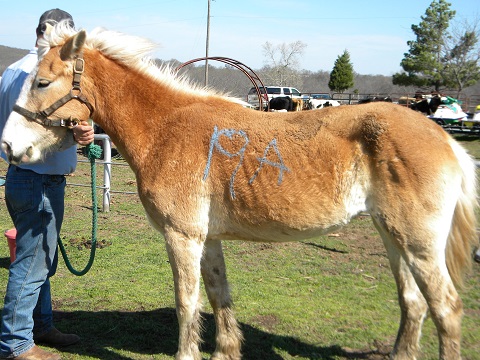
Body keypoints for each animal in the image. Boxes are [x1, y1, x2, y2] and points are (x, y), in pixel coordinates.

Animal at [1, 23, 478, 358]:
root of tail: (445, 139)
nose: (8, 146)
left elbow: (187, 303)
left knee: (446, 309)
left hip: (418, 244)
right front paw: (225, 351)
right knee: (413, 303)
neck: (165, 129)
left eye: (42, 82)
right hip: (394, 238)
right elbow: (218, 295)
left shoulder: (182, 238)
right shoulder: (207, 239)